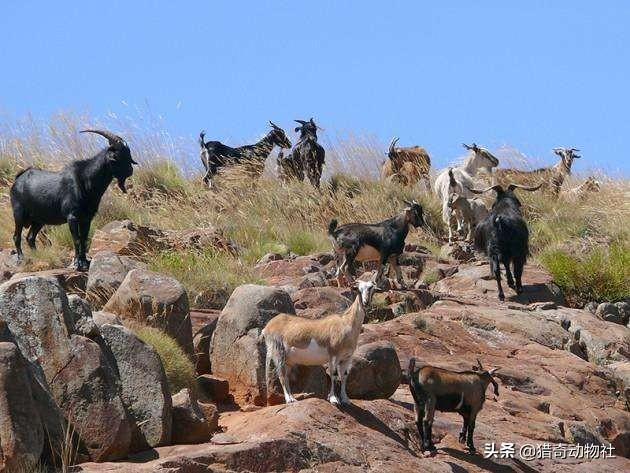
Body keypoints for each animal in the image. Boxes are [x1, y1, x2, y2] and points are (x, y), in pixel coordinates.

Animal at [9, 129, 136, 270]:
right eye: (117, 157)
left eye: (128, 155)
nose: (130, 171)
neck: (86, 181)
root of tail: (18, 179)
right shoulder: (72, 217)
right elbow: (76, 239)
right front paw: (77, 263)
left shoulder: (86, 218)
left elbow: (84, 239)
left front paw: (84, 262)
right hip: (19, 213)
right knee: (17, 236)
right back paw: (21, 259)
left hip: (39, 220)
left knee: (30, 237)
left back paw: (38, 257)